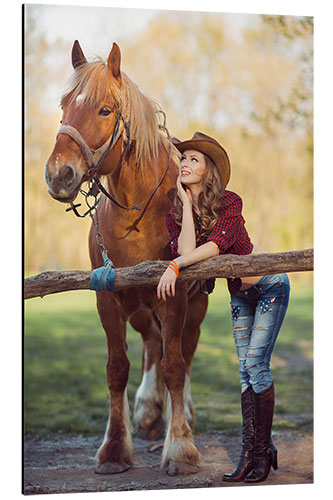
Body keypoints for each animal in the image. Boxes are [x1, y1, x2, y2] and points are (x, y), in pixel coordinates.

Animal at [43, 41, 208, 474]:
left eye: (104, 109)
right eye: (64, 104)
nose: (59, 174)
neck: (138, 214)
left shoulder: (176, 295)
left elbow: (175, 365)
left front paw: (180, 446)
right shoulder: (109, 298)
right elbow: (118, 369)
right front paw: (115, 448)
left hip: (196, 304)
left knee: (184, 350)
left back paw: (180, 413)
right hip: (139, 307)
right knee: (152, 342)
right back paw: (149, 411)